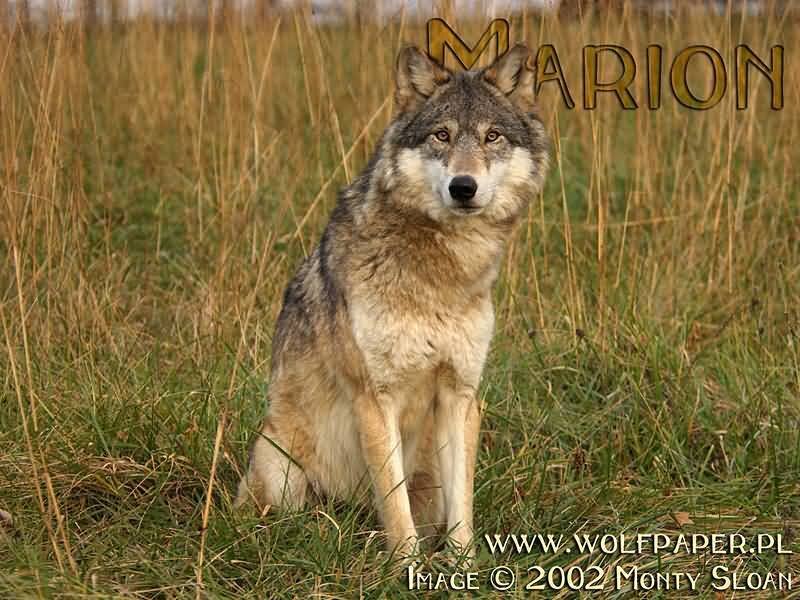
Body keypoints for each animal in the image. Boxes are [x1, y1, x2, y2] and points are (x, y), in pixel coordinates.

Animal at [236, 43, 549, 560]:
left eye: (492, 136)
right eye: (442, 135)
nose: (463, 187)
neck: (442, 274)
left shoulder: (460, 395)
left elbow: (461, 508)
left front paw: (463, 566)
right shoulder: (375, 398)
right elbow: (395, 504)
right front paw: (408, 567)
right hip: (279, 465)